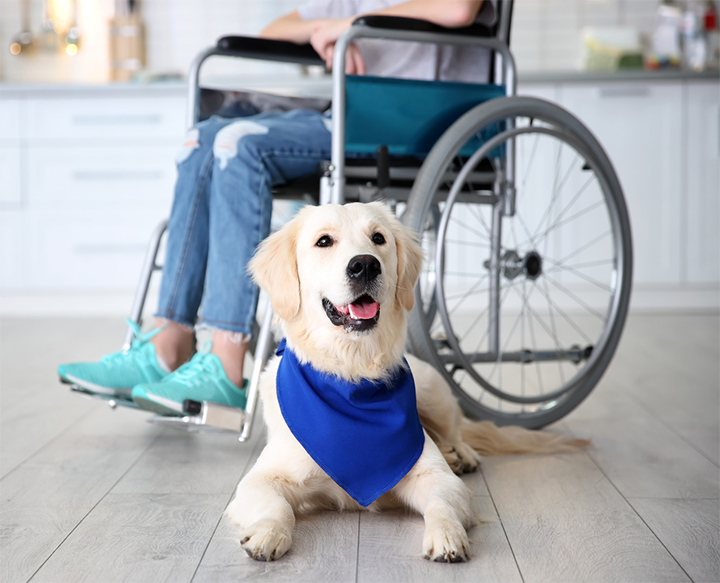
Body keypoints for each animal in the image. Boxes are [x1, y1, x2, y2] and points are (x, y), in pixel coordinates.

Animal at [228, 203, 588, 564]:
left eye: (378, 238)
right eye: (324, 241)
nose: (365, 264)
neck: (353, 374)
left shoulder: (436, 476)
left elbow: (442, 502)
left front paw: (446, 535)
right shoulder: (261, 478)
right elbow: (276, 506)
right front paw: (267, 533)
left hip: (432, 391)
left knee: (456, 431)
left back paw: (461, 453)